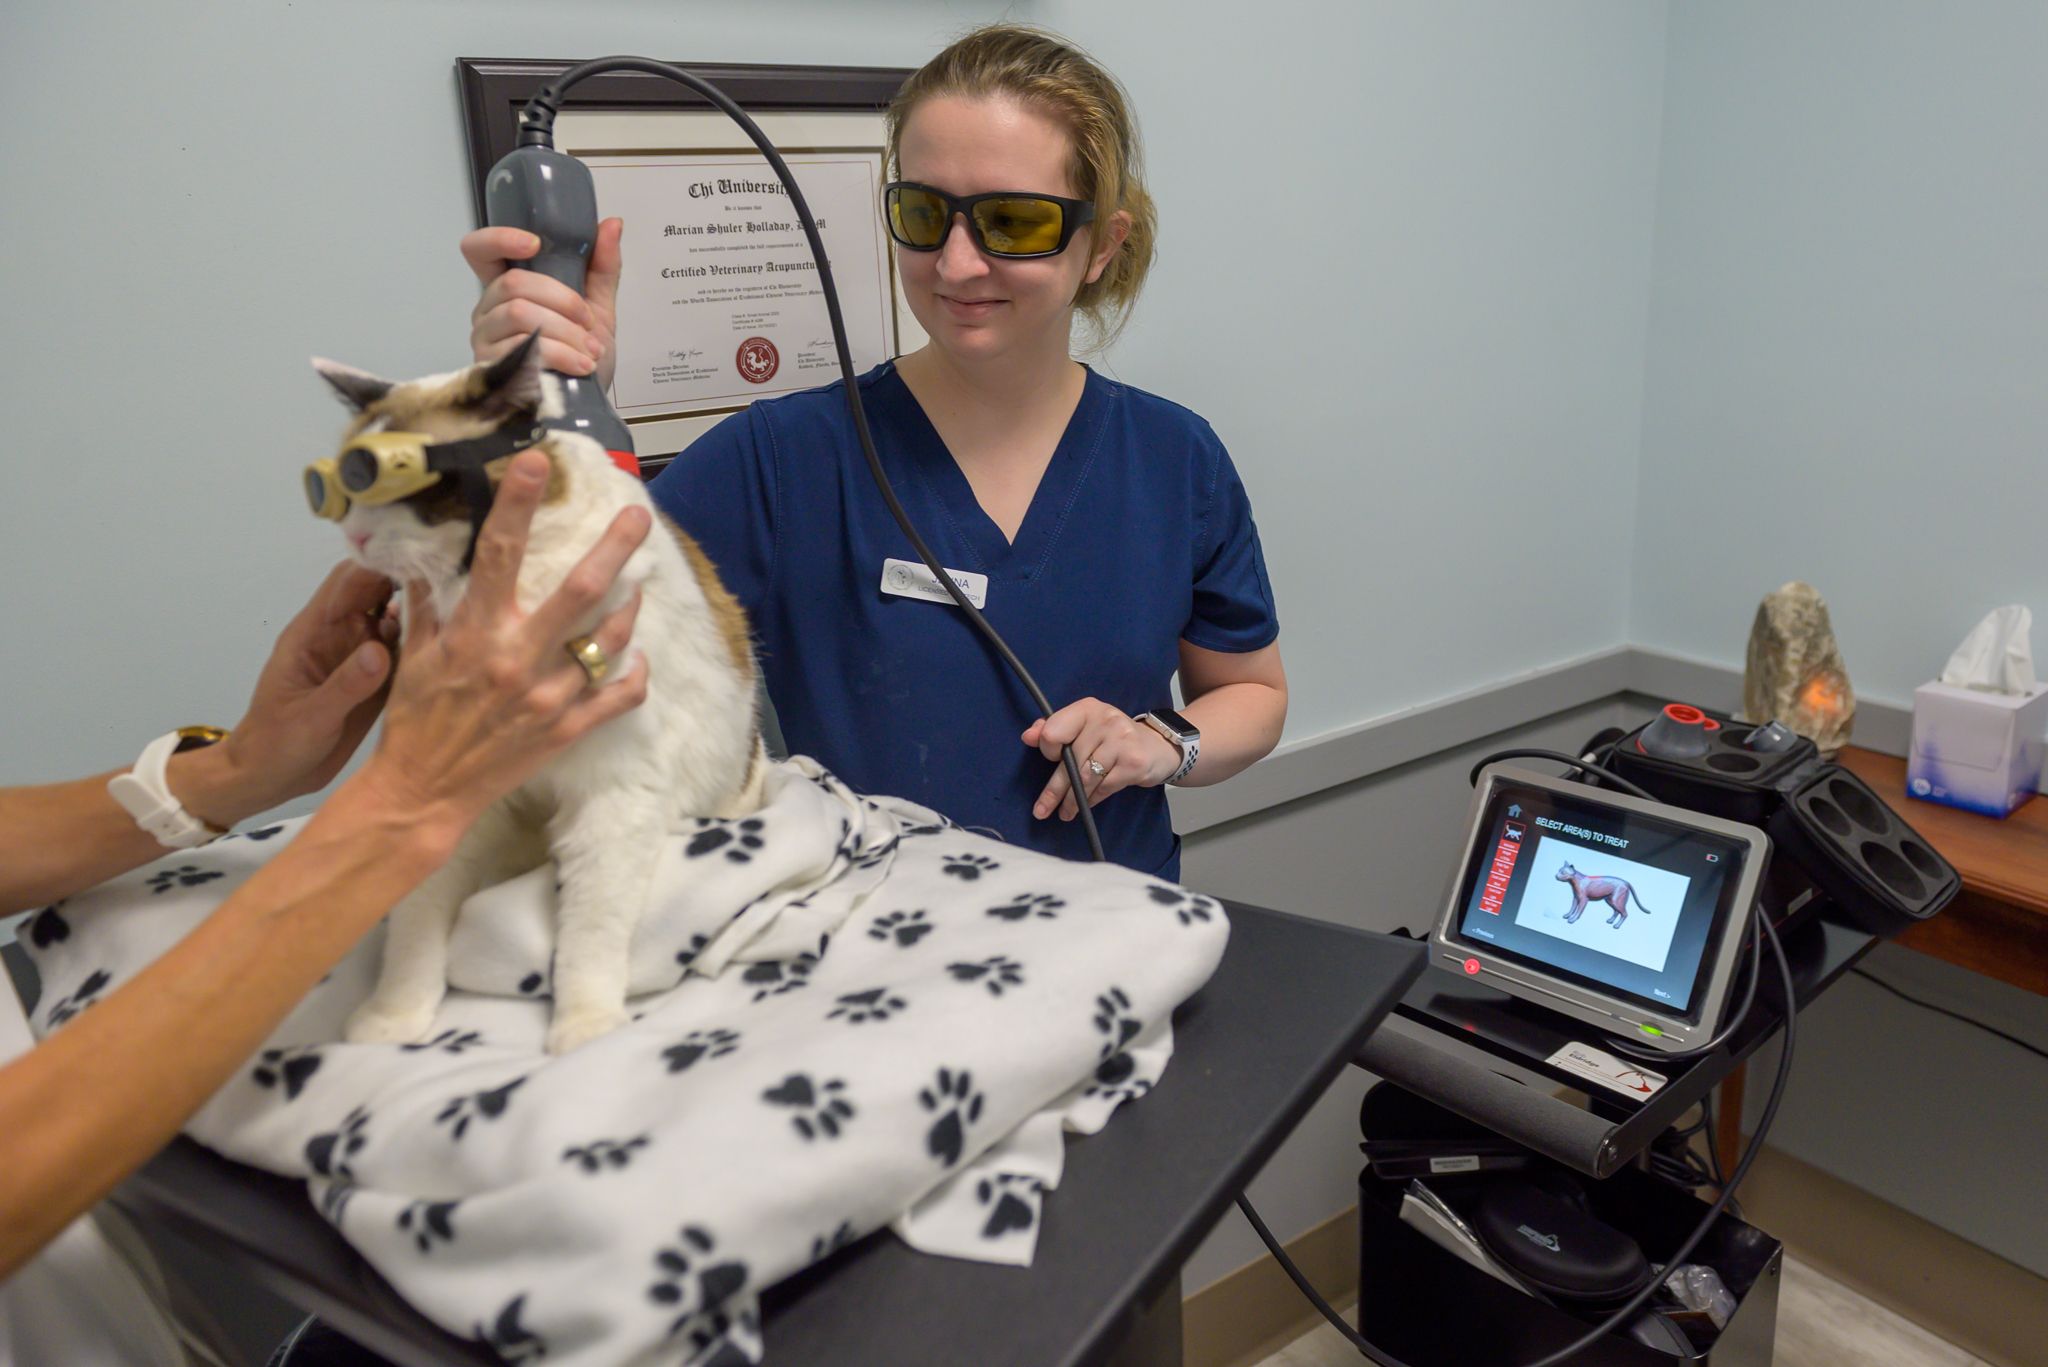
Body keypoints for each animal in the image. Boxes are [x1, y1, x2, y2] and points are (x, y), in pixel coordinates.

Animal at [311, 336, 770, 1057]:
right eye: (338, 491)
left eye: (404, 479)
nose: (355, 539)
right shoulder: (447, 795)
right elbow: (414, 921)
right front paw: (395, 1016)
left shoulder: (614, 798)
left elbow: (589, 932)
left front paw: (584, 1031)